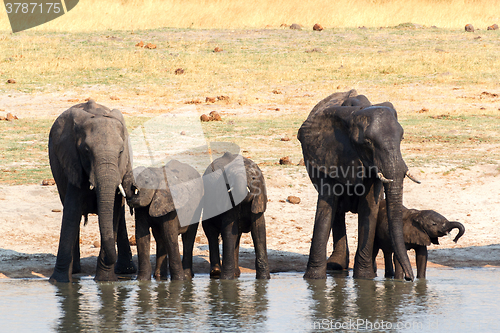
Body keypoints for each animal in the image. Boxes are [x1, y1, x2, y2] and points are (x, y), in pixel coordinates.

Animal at [48, 100, 136, 282]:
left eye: (121, 151)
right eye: (86, 151)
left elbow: (114, 211)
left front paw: (105, 281)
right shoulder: (73, 161)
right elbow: (71, 212)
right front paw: (59, 283)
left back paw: (126, 270)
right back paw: (75, 270)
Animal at [298, 89, 420, 278]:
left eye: (402, 138)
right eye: (368, 143)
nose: (409, 277)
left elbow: (369, 208)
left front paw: (364, 278)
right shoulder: (329, 155)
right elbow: (325, 209)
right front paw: (313, 279)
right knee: (337, 212)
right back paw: (335, 266)